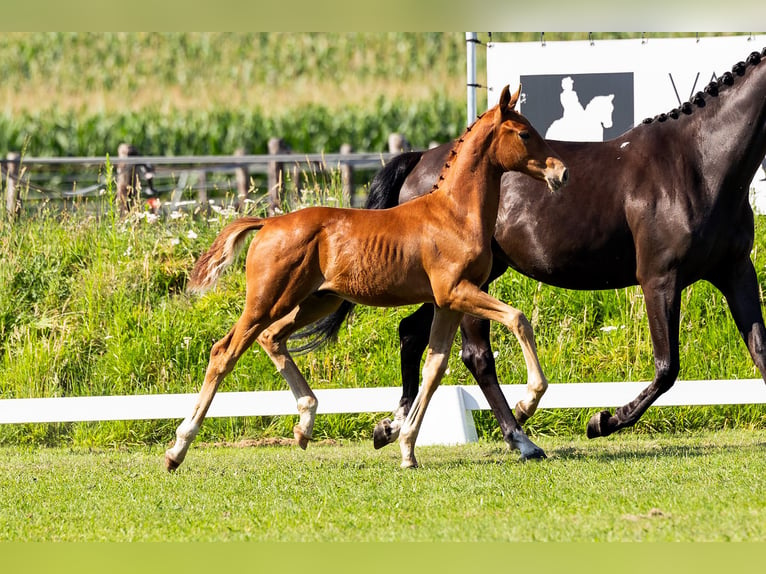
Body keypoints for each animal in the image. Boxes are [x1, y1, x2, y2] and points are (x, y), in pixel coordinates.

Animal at [166, 85, 568, 472]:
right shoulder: (457, 292)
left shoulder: (447, 303)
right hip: (268, 299)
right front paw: (528, 402)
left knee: (272, 338)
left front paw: (405, 448)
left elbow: (434, 368)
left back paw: (305, 423)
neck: (454, 214)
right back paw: (177, 450)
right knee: (225, 352)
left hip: (315, 300)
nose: (561, 173)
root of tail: (268, 222)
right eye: (524, 133)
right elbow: (517, 319)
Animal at [298, 48, 766, 450]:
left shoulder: (736, 272)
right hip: (467, 284)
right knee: (476, 355)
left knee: (413, 334)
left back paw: (394, 426)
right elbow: (667, 368)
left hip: (457, 284)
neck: (698, 163)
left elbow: (760, 352)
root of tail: (420, 162)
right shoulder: (659, 279)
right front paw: (601, 421)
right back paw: (517, 430)